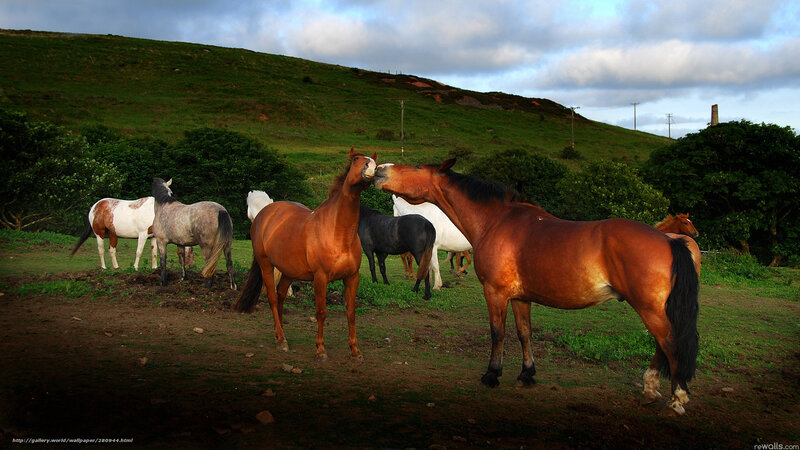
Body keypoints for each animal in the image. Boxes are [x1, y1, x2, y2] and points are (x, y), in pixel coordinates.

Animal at [236, 148, 377, 361]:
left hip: (289, 271)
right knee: (272, 298)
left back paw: (279, 333)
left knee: (281, 296)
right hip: (266, 265)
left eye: (375, 161)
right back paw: (281, 340)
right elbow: (321, 312)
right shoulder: (320, 278)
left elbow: (351, 312)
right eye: (356, 159)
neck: (337, 231)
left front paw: (355, 350)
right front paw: (320, 350)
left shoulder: (352, 277)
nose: (373, 169)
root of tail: (264, 213)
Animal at [374, 160, 700, 415]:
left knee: (669, 343)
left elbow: (498, 332)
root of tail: (669, 241)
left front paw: (492, 374)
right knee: (662, 344)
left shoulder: (495, 292)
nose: (379, 170)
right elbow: (524, 333)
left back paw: (676, 397)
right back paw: (649, 390)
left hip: (649, 308)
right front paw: (526, 374)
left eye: (417, 167)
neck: (497, 221)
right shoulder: (520, 297)